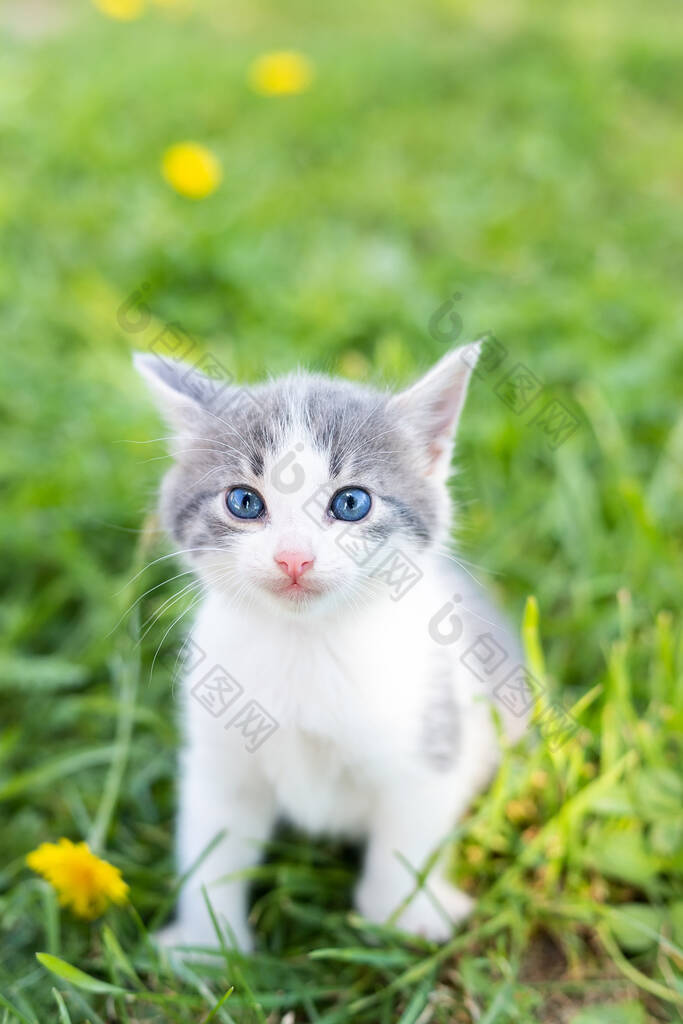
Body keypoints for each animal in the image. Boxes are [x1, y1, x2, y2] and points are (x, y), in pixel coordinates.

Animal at [135, 344, 528, 950]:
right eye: (244, 501)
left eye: (350, 503)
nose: (294, 557)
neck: (307, 645)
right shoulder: (218, 758)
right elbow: (212, 846)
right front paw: (207, 945)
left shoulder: (429, 738)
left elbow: (406, 837)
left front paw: (401, 915)